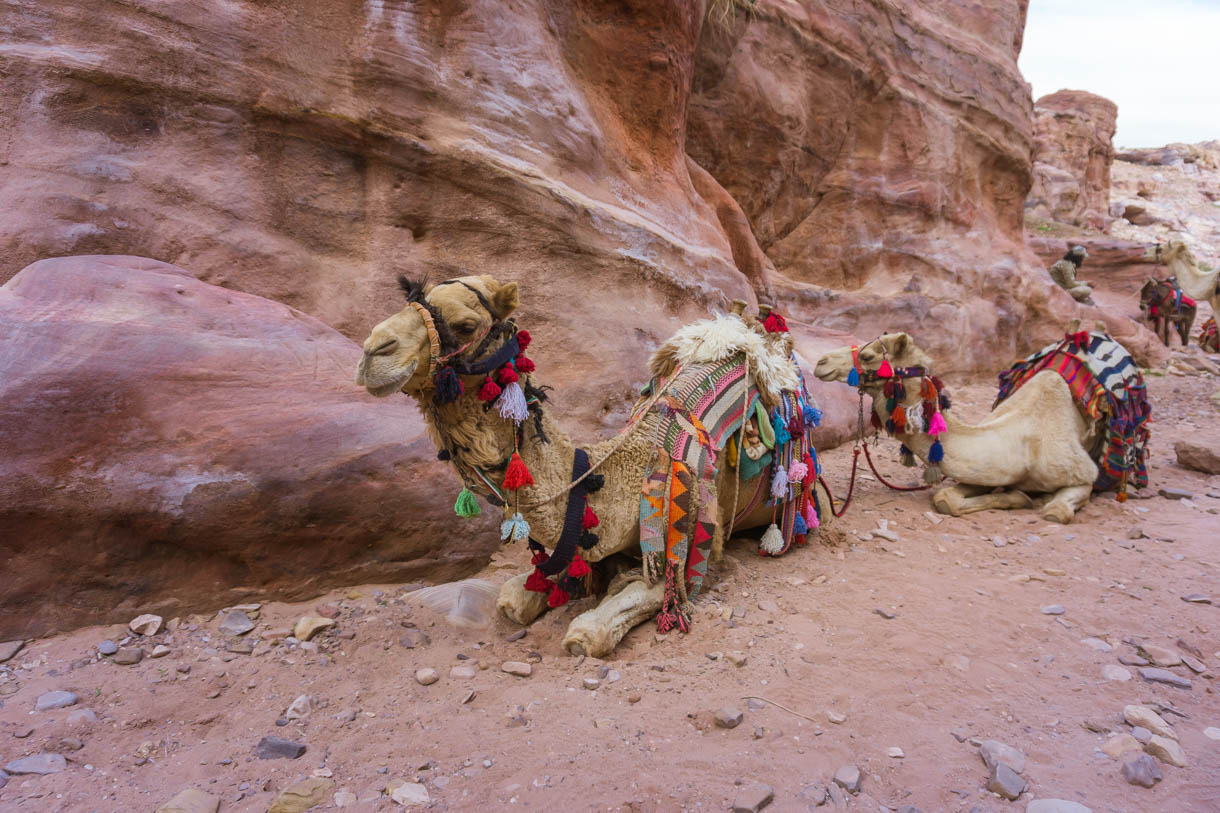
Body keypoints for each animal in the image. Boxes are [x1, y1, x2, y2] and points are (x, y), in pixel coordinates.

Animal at [353, 275, 829, 654]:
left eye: (466, 325)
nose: (373, 351)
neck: (622, 469)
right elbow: (516, 595)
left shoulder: (699, 539)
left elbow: (606, 623)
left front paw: (597, 613)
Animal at [814, 324, 1146, 522]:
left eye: (868, 356)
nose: (821, 362)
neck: (1024, 447)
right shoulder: (983, 472)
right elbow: (945, 498)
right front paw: (1017, 495)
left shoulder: (1082, 475)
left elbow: (1056, 511)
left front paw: (1031, 499)